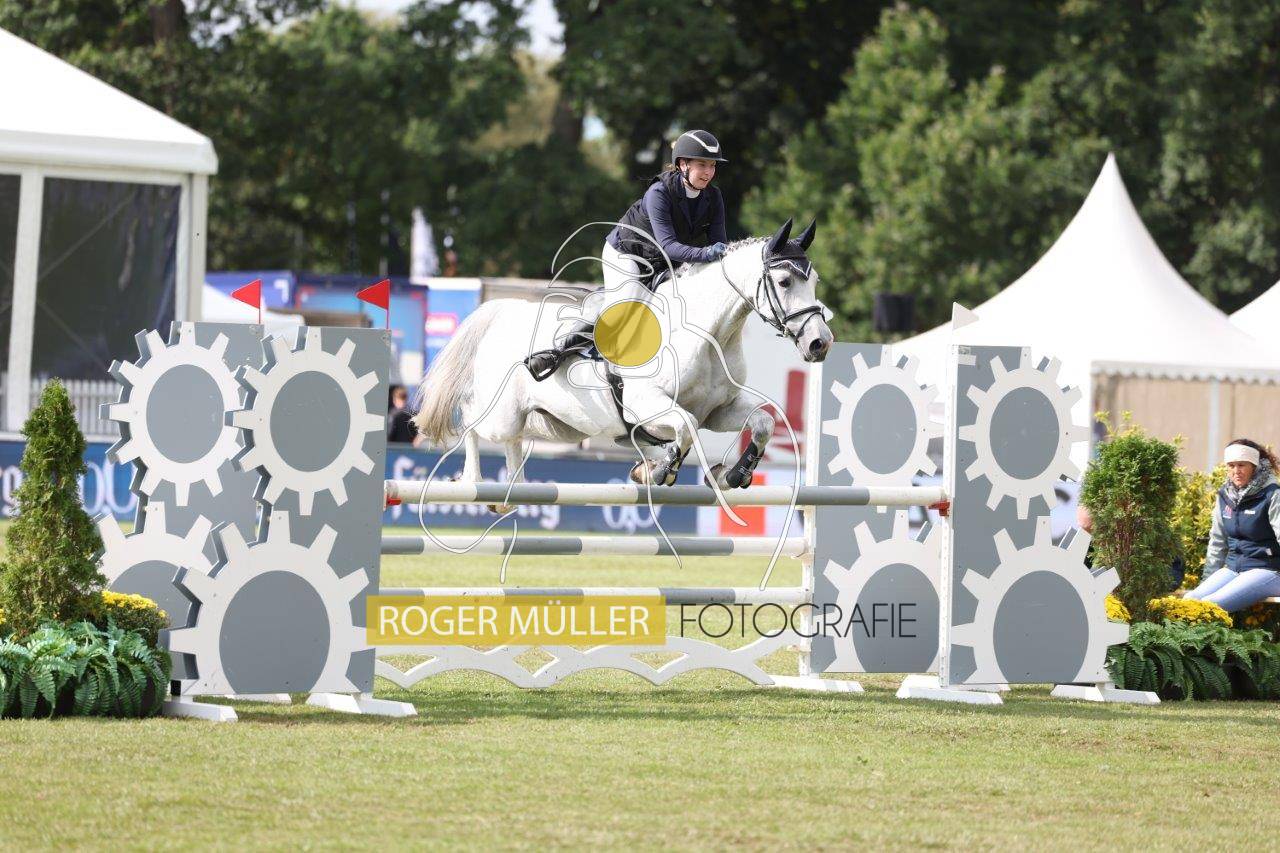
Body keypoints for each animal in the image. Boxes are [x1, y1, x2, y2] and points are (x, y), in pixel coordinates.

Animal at [412, 218, 833, 498]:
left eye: (814, 280)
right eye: (784, 281)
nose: (820, 343)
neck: (707, 332)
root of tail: (502, 312)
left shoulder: (718, 409)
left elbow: (761, 422)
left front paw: (732, 474)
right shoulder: (646, 405)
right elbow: (685, 428)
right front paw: (657, 471)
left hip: (555, 426)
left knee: (513, 441)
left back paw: (510, 493)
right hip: (501, 414)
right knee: (471, 422)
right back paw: (472, 479)